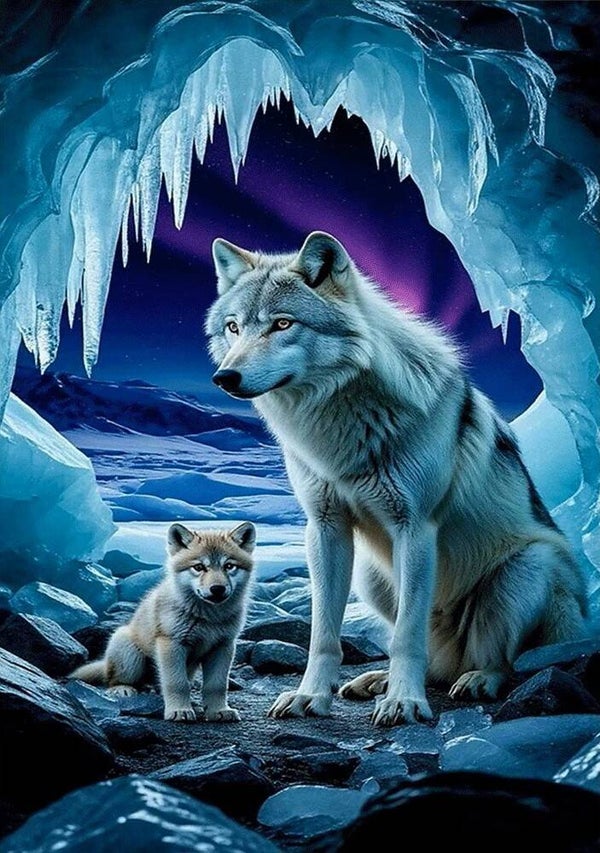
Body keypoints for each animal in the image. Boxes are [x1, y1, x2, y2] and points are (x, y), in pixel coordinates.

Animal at [71, 522, 255, 722]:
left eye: (229, 566)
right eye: (199, 567)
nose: (217, 589)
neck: (208, 618)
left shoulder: (223, 647)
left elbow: (217, 686)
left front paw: (218, 711)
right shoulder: (171, 644)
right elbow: (177, 683)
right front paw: (180, 710)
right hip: (129, 654)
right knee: (114, 679)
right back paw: (123, 689)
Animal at [205, 231, 588, 727]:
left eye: (283, 324)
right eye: (234, 328)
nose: (224, 377)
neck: (340, 426)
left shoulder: (416, 528)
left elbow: (407, 634)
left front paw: (405, 702)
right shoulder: (324, 528)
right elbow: (323, 633)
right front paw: (311, 696)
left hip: (528, 567)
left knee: (501, 659)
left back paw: (477, 679)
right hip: (372, 577)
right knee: (438, 663)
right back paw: (378, 680)